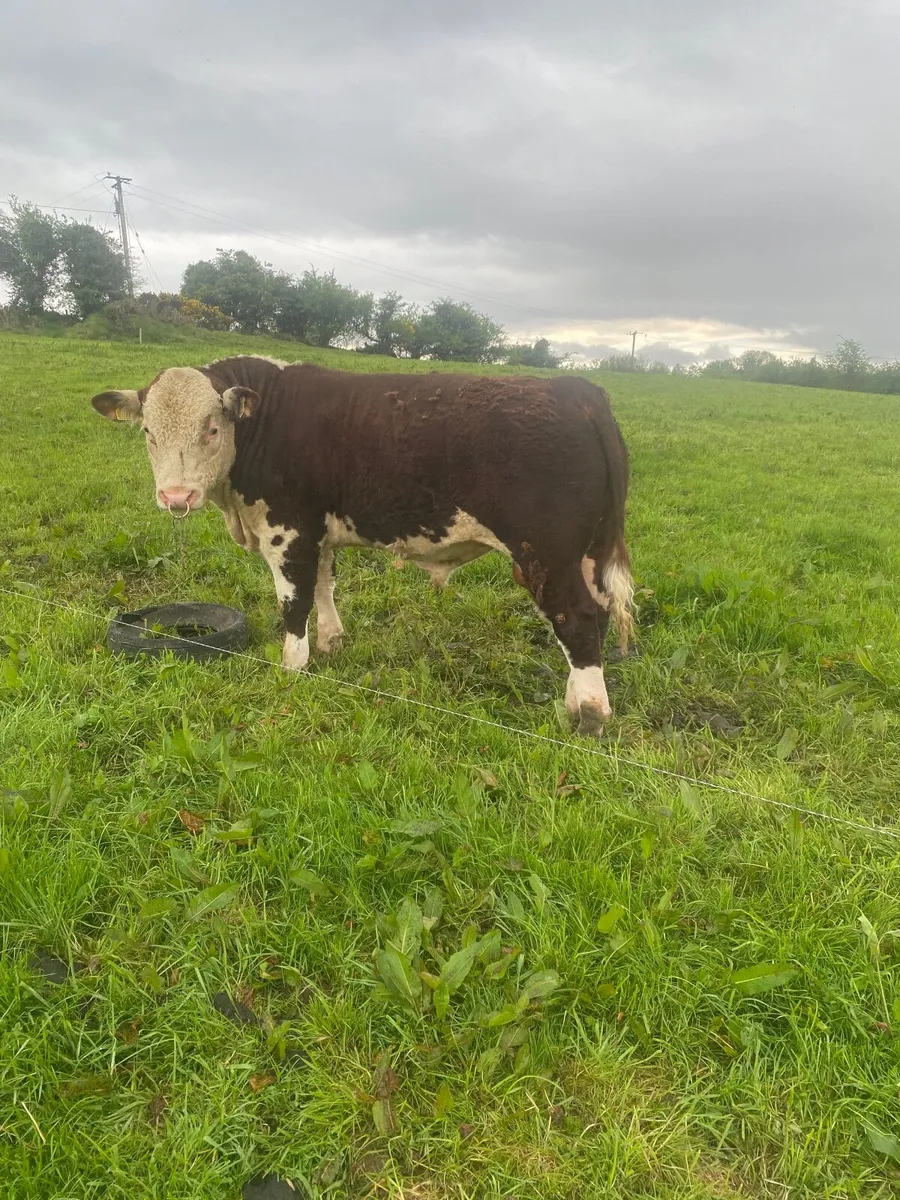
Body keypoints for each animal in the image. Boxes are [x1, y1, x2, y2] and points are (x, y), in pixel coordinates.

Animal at [90, 356, 634, 735]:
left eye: (211, 428)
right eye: (147, 431)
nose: (175, 497)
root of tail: (578, 391)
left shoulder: (287, 531)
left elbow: (293, 601)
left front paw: (292, 668)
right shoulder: (318, 530)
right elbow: (325, 585)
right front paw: (332, 643)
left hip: (545, 551)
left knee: (575, 617)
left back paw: (589, 713)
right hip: (585, 552)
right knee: (597, 613)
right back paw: (576, 698)